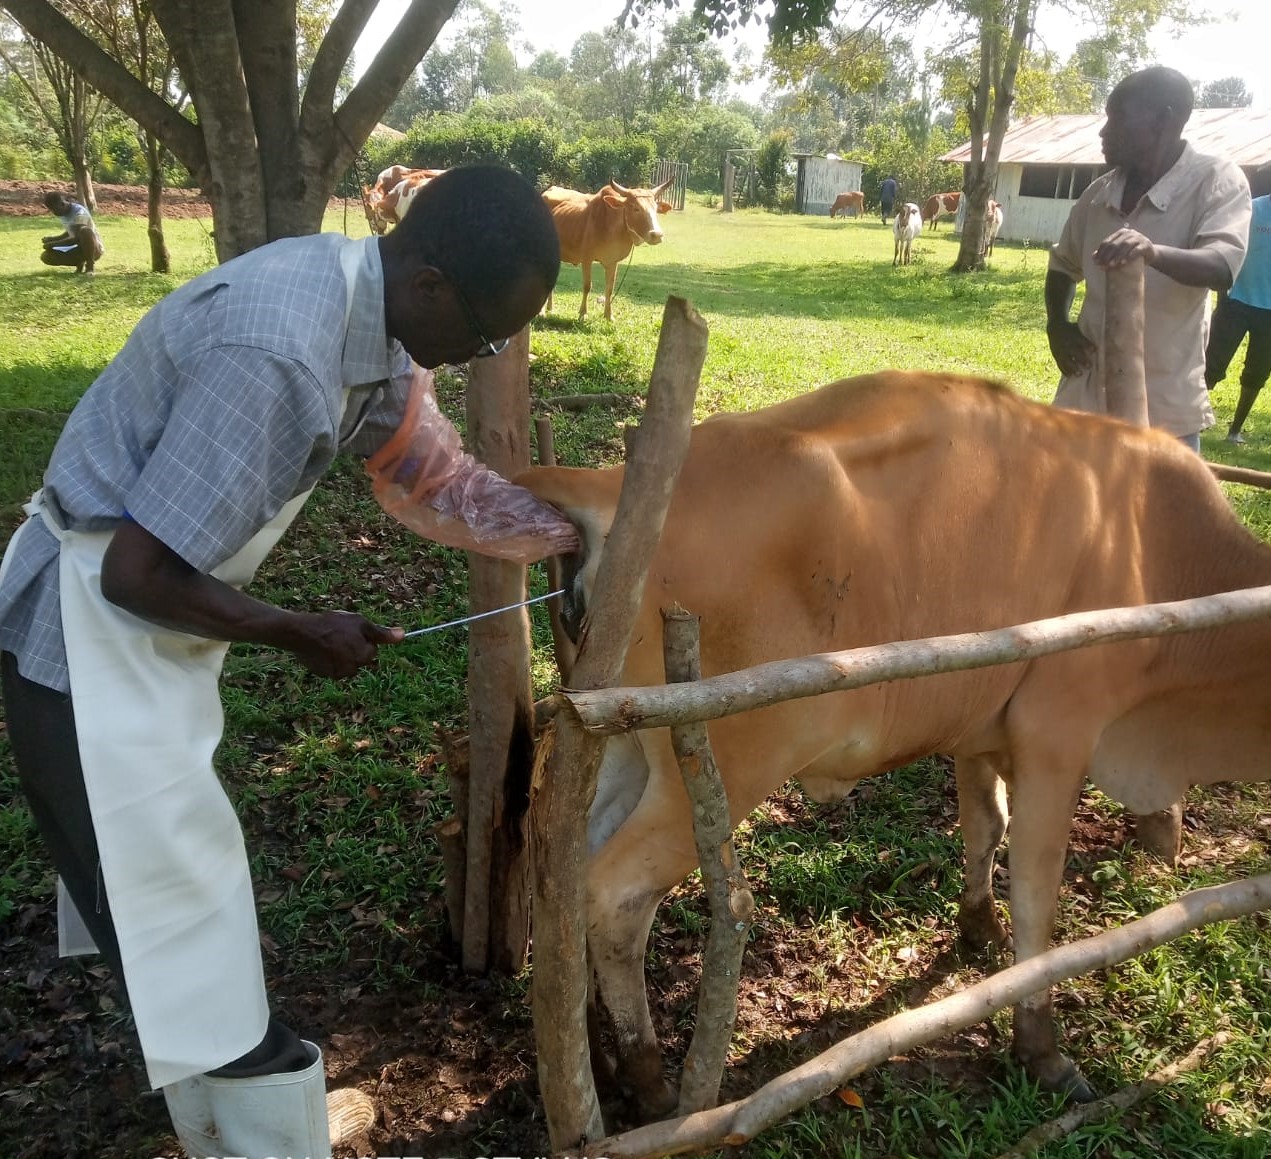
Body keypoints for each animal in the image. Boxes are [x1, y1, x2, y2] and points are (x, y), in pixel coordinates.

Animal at [521, 373, 1271, 1123]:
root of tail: (608, 482)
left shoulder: (980, 728)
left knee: (566, 873)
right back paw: (648, 1080)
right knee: (615, 892)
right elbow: (1039, 894)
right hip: (725, 761)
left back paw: (591, 1048)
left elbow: (984, 827)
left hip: (625, 743)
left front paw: (978, 927)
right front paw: (1042, 1047)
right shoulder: (1057, 736)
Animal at [538, 176, 676, 321]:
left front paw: (609, 315)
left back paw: (550, 308)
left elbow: (609, 288)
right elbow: (587, 286)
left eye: (655, 209)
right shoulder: (586, 259)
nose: (657, 234)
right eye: (636, 208)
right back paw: (541, 311)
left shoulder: (613, 262)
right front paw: (583, 313)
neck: (612, 227)